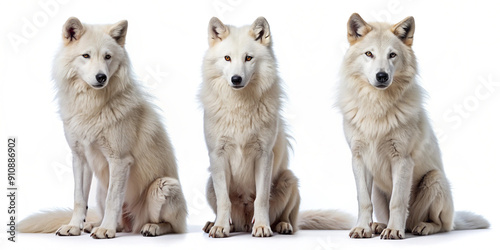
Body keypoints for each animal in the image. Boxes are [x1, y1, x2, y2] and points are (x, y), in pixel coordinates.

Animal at [18, 17, 188, 238]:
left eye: (107, 57)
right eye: (86, 56)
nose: (101, 77)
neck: (91, 106)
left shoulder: (119, 161)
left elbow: (112, 200)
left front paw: (106, 230)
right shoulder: (80, 158)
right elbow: (79, 199)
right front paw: (74, 226)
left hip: (164, 186)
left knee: (172, 227)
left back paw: (149, 227)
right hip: (100, 186)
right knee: (119, 223)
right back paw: (94, 225)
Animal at [200, 16, 356, 237]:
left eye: (248, 58)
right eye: (227, 58)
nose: (236, 79)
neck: (240, 106)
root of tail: (244, 225)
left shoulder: (265, 155)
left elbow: (261, 199)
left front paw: (261, 227)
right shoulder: (217, 155)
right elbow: (224, 201)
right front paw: (220, 227)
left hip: (289, 179)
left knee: (287, 216)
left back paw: (282, 226)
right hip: (209, 184)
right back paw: (213, 224)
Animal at [338, 13, 490, 240]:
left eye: (392, 55)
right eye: (369, 54)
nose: (382, 76)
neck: (377, 106)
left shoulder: (402, 160)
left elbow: (398, 202)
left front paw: (394, 231)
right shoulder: (358, 158)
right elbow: (363, 201)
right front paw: (362, 228)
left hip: (434, 180)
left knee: (440, 225)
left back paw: (421, 227)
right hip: (378, 190)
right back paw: (379, 226)